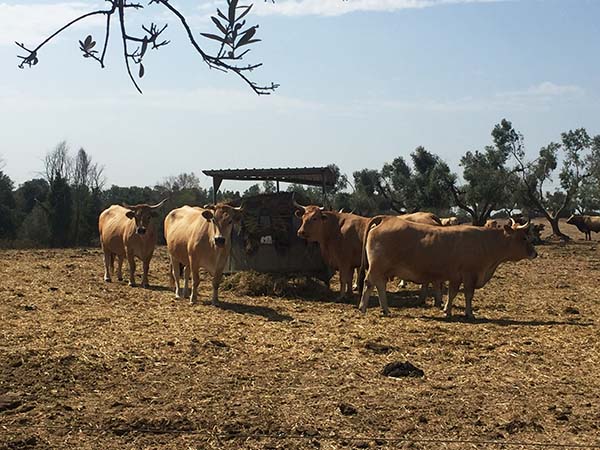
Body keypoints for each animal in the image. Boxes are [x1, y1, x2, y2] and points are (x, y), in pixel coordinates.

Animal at [358, 217, 536, 316]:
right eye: (524, 238)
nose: (535, 253)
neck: (485, 242)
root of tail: (386, 219)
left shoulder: (456, 277)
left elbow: (452, 294)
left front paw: (446, 310)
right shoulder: (469, 275)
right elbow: (468, 295)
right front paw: (469, 313)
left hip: (381, 270)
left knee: (379, 285)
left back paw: (385, 310)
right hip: (377, 267)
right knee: (369, 284)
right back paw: (363, 308)